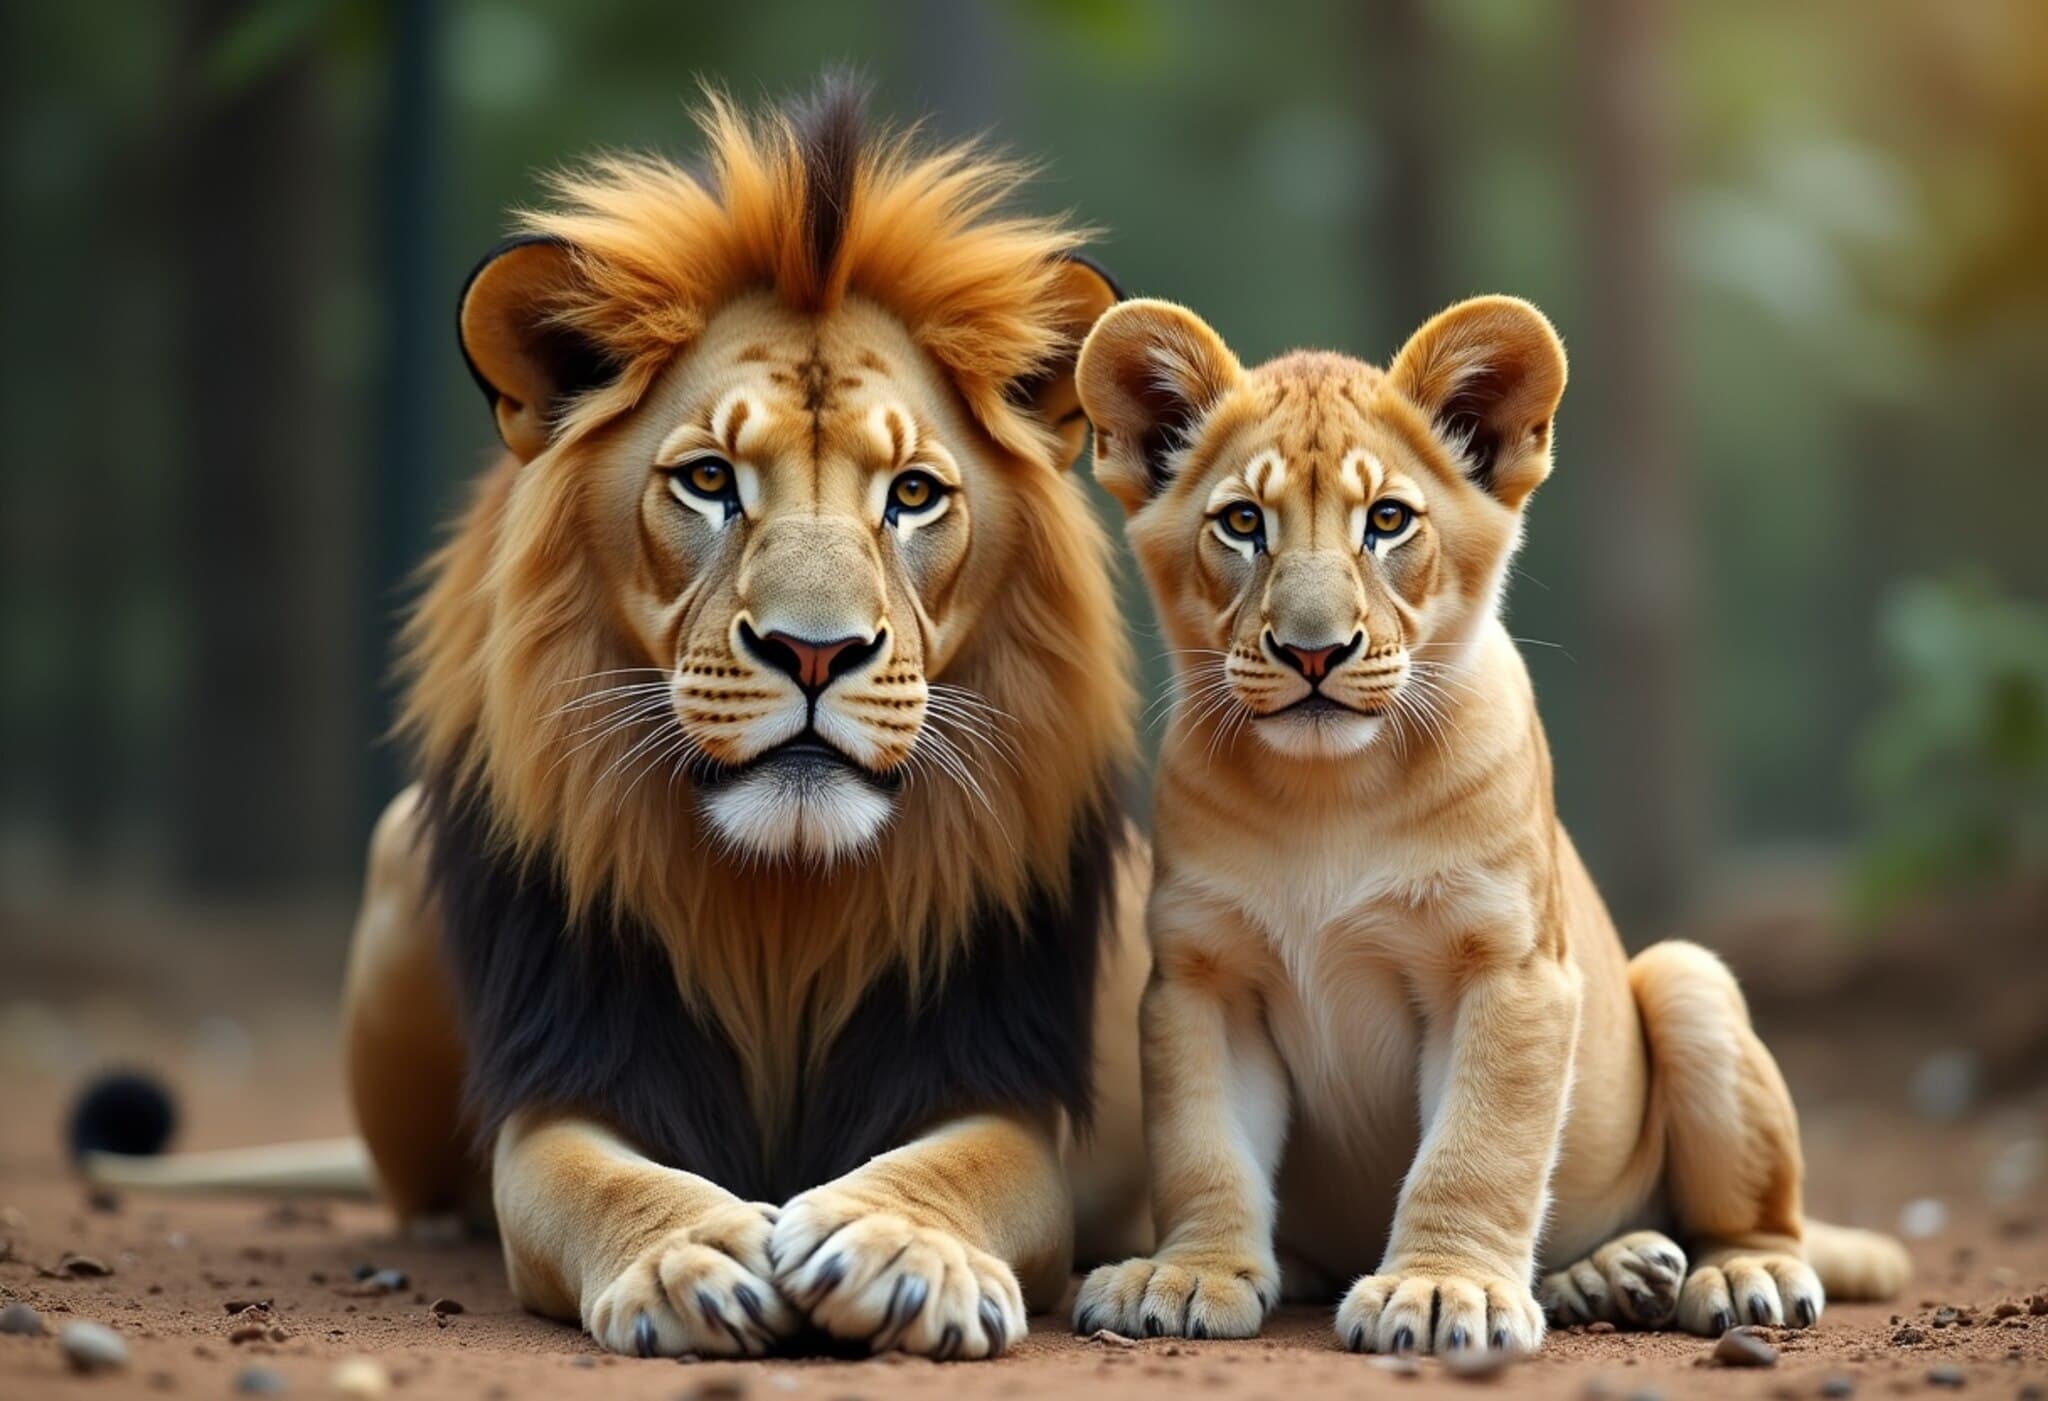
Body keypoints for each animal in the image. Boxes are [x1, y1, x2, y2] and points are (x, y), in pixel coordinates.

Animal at [84, 79, 1152, 1361]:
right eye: (708, 481)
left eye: (910, 495)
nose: (813, 650)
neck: (779, 914)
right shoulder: (569, 1073)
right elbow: (585, 1180)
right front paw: (692, 1253)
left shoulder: (995, 1079)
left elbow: (968, 1167)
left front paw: (902, 1249)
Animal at [1064, 295, 1910, 1354]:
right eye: (1243, 523)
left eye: (1388, 520)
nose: (1313, 652)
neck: (1326, 795)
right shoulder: (1201, 977)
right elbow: (1202, 1145)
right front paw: (1188, 1274)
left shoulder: (1507, 967)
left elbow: (1477, 1148)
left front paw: (1439, 1290)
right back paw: (1608, 1274)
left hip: (1688, 981)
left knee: (1763, 1213)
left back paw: (1729, 1274)